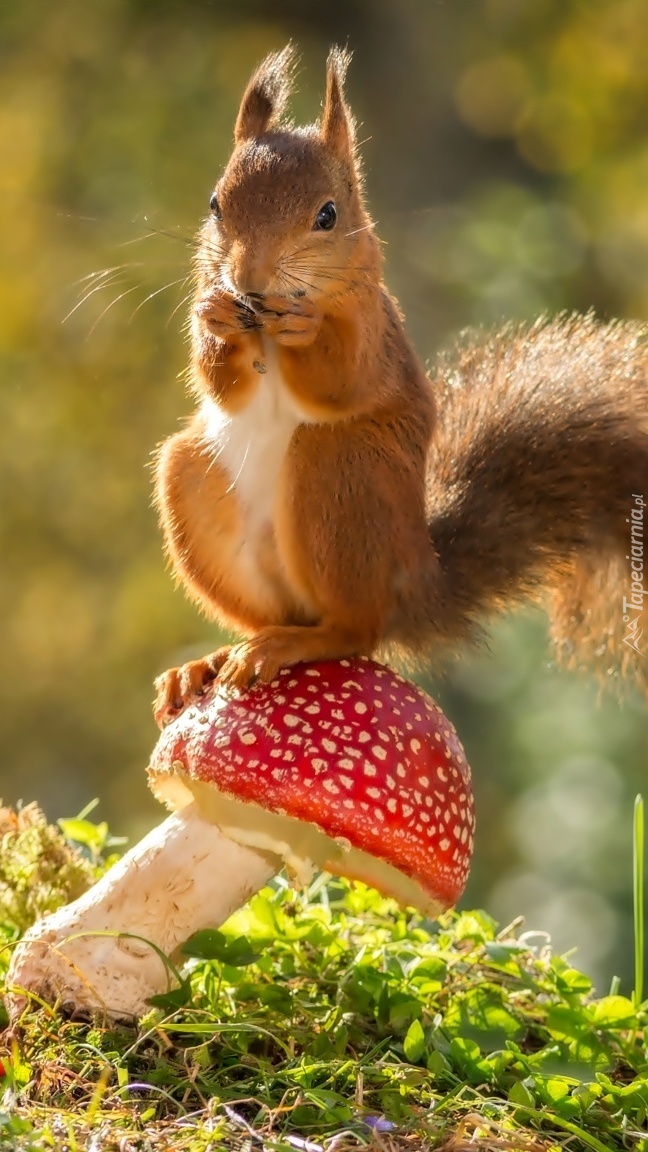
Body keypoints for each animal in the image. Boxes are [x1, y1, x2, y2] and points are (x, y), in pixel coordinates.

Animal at [152, 47, 645, 728]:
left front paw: (307, 329)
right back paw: (212, 662)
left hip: (340, 473)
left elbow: (341, 379)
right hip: (192, 482)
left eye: (327, 215)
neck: (268, 323)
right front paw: (215, 318)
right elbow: (223, 386)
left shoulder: (374, 333)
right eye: (214, 204)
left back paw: (296, 643)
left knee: (354, 631)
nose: (247, 279)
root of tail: (417, 587)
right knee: (272, 617)